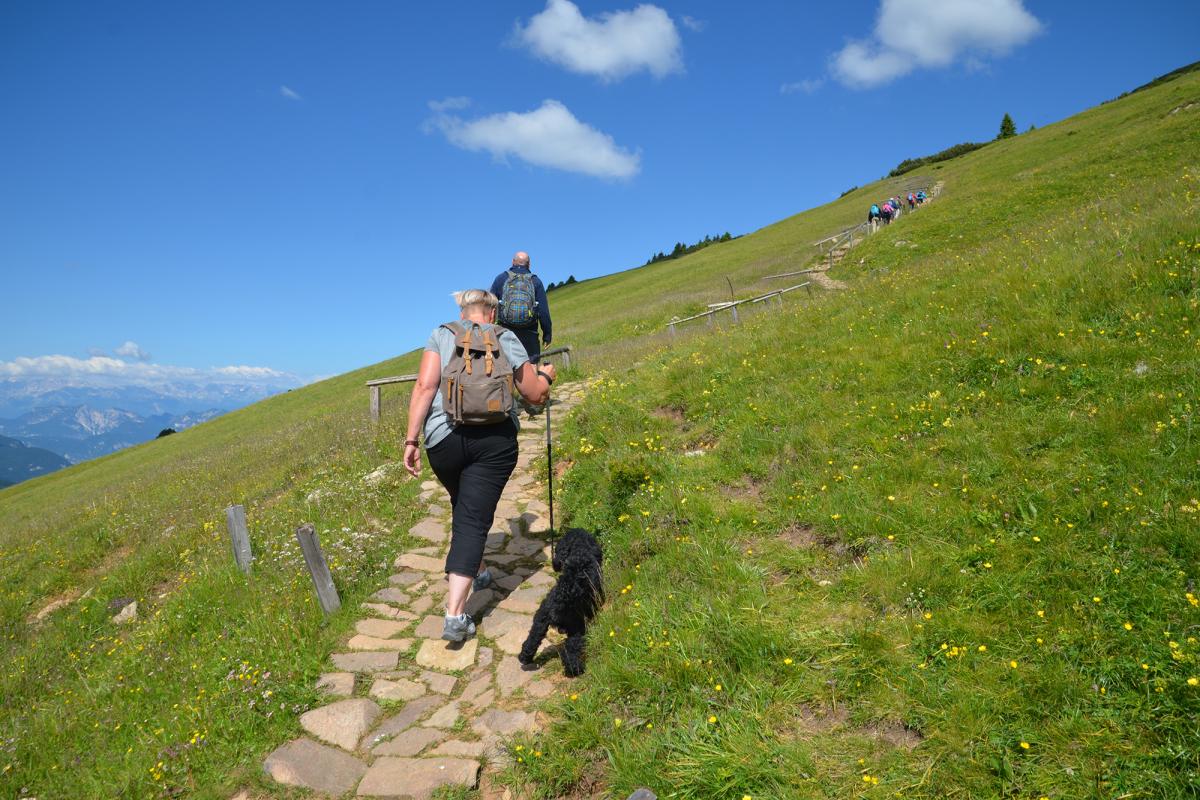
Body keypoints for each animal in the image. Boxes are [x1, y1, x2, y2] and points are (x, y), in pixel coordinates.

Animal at [518, 532, 604, 676]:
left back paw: (525, 657)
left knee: (532, 639)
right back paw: (575, 669)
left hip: (540, 620)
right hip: (577, 628)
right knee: (569, 649)